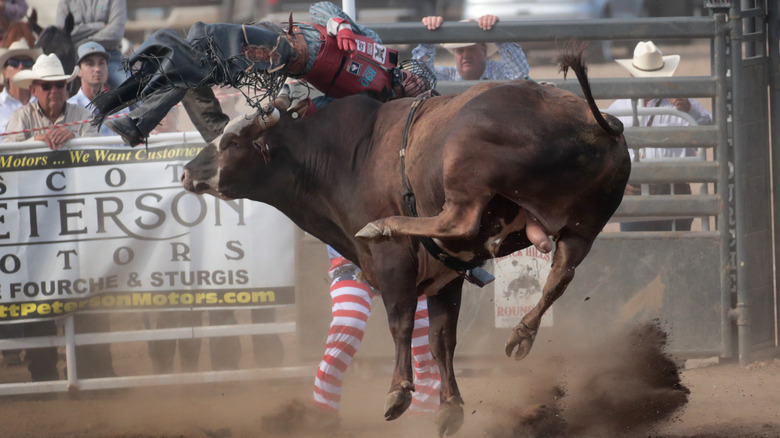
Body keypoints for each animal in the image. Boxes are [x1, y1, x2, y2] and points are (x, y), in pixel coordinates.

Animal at [181, 50, 628, 434]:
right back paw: (521, 334)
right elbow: (441, 340)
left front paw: (398, 393)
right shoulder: (447, 276)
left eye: (231, 143)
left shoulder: (394, 263)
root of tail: (597, 121)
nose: (186, 171)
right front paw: (450, 408)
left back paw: (384, 224)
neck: (347, 157)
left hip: (466, 162)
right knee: (561, 274)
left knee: (459, 219)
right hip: (583, 228)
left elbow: (401, 322)